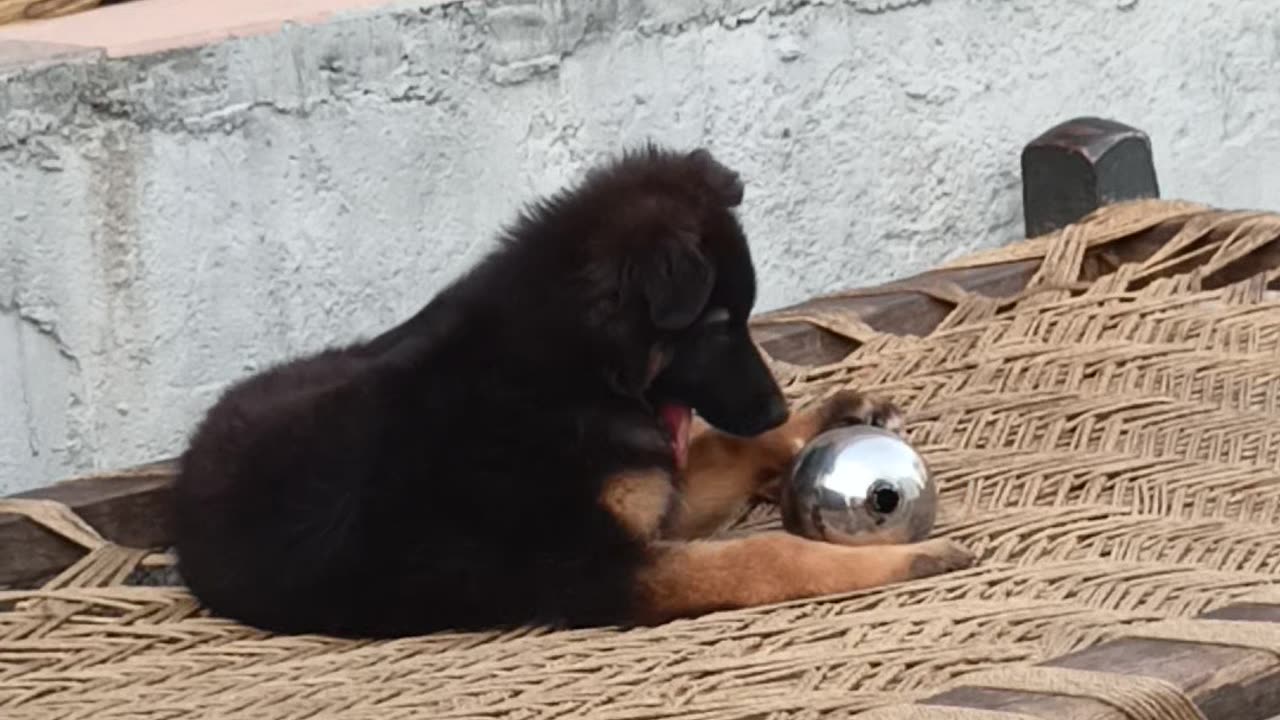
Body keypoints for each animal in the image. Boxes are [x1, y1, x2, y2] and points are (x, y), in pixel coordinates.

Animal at [170, 144, 967, 632]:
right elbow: (765, 556)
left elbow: (729, 454)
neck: (575, 371)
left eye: (743, 317)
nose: (773, 404)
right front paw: (901, 560)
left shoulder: (655, 498)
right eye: (716, 324)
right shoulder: (597, 569)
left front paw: (822, 413)